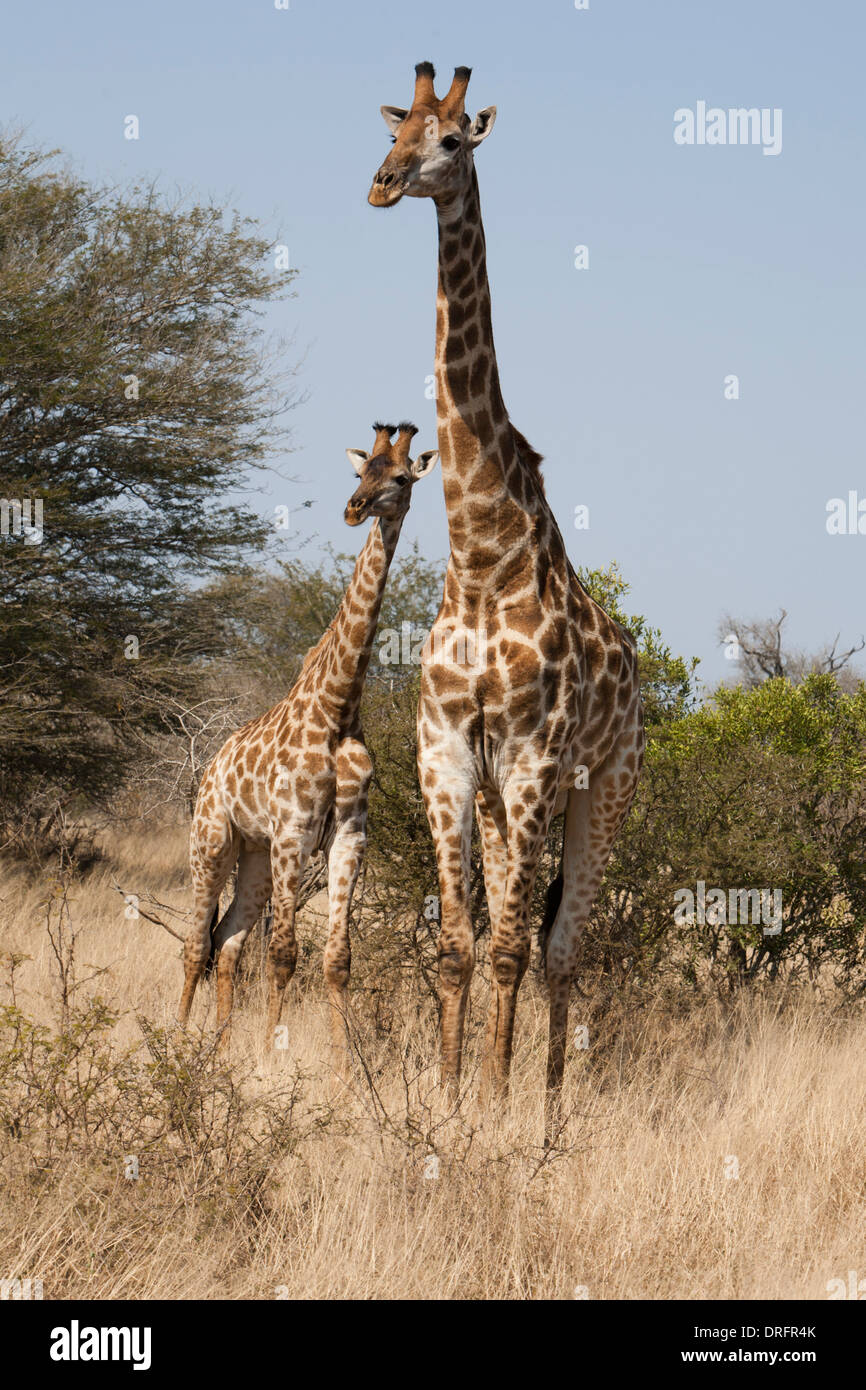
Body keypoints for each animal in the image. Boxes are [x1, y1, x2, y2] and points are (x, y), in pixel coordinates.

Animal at [177, 422, 438, 1072]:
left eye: (401, 478)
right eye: (360, 472)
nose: (353, 509)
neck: (339, 707)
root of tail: (210, 768)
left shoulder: (348, 835)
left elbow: (336, 959)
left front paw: (348, 1073)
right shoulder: (294, 830)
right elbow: (285, 953)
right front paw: (275, 1059)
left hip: (253, 855)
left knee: (227, 940)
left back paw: (218, 1048)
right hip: (212, 840)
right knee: (195, 943)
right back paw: (174, 1040)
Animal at [368, 64, 645, 1135]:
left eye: (453, 142)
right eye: (396, 129)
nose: (383, 183)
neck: (481, 557)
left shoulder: (533, 757)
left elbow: (517, 945)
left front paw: (493, 1108)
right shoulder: (447, 755)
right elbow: (459, 942)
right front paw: (450, 1103)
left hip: (606, 786)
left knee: (566, 947)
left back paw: (552, 1110)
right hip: (497, 796)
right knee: (520, 937)